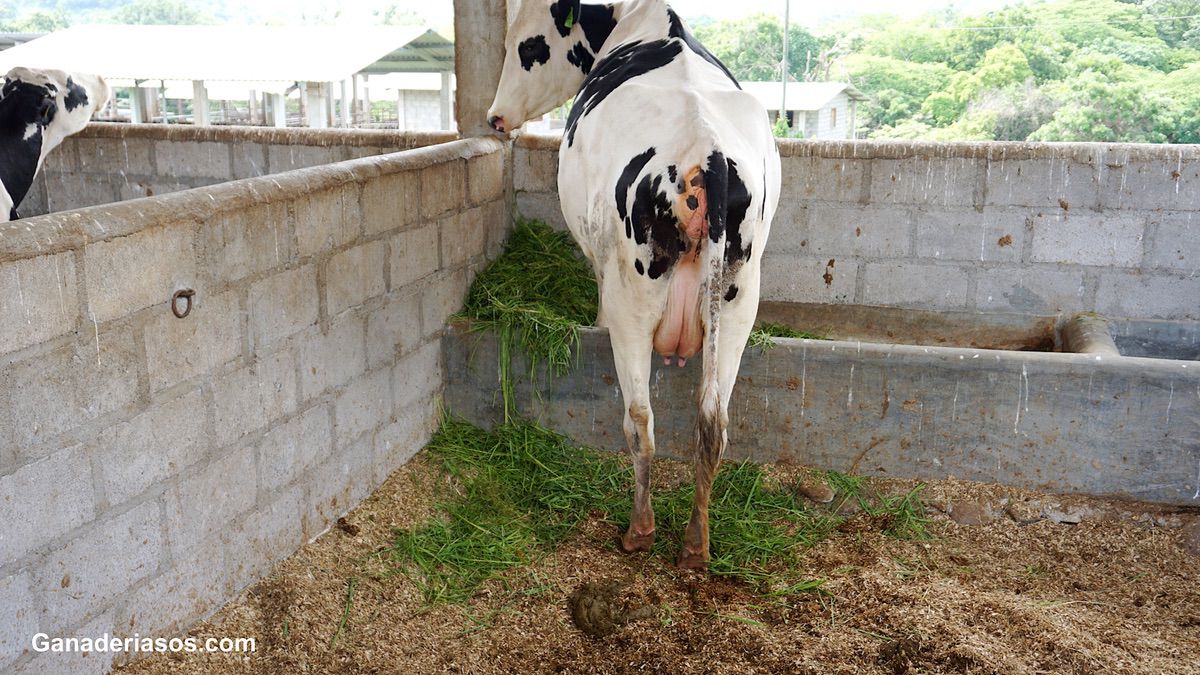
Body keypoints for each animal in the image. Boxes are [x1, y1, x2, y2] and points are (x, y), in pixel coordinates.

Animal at [484, 0, 777, 566]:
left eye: (527, 46)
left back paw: (640, 529)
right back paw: (696, 544)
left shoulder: (600, 260)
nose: (495, 118)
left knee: (640, 419)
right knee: (713, 422)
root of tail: (706, 152)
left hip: (633, 299)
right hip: (739, 301)